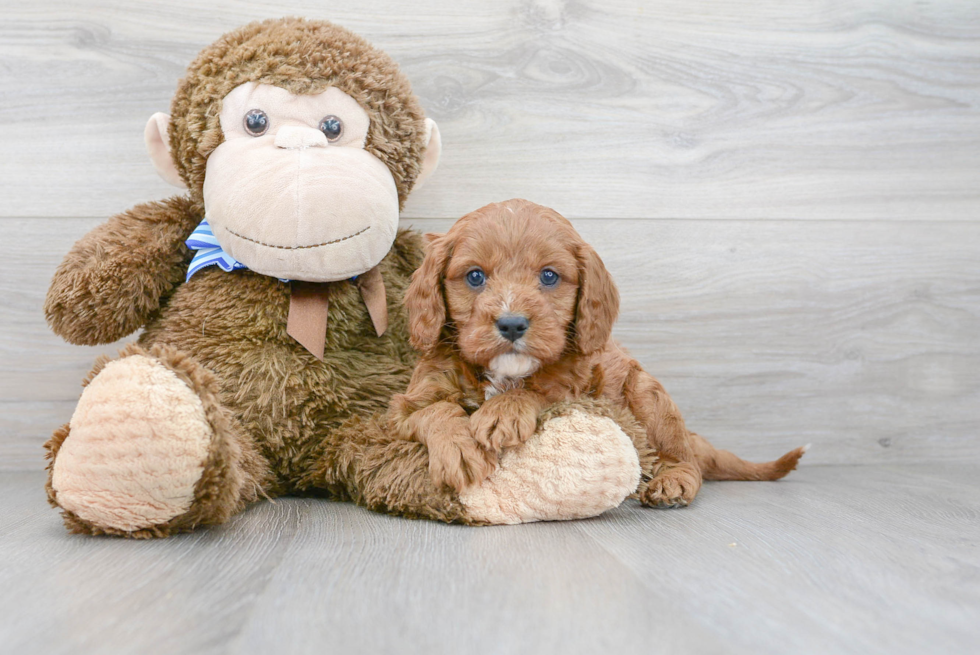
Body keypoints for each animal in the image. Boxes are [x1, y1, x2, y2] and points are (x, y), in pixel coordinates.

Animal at [388, 200, 804, 508]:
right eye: (475, 276)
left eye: (549, 276)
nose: (512, 324)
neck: (504, 372)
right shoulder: (401, 410)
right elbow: (435, 411)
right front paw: (459, 449)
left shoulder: (577, 390)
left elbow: (541, 391)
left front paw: (503, 412)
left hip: (648, 395)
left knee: (684, 458)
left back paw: (674, 481)